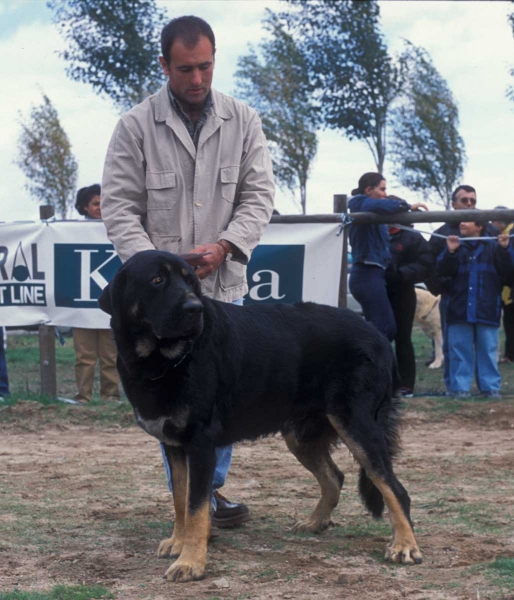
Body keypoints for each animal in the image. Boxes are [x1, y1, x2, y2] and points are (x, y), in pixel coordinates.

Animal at [99, 248, 420, 580]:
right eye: (157, 280)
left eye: (191, 281)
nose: (194, 308)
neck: (165, 359)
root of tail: (378, 335)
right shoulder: (173, 444)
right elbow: (180, 498)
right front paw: (178, 542)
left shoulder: (201, 443)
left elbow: (196, 506)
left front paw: (190, 562)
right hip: (300, 436)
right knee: (335, 476)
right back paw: (315, 522)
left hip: (356, 425)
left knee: (394, 488)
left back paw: (404, 545)